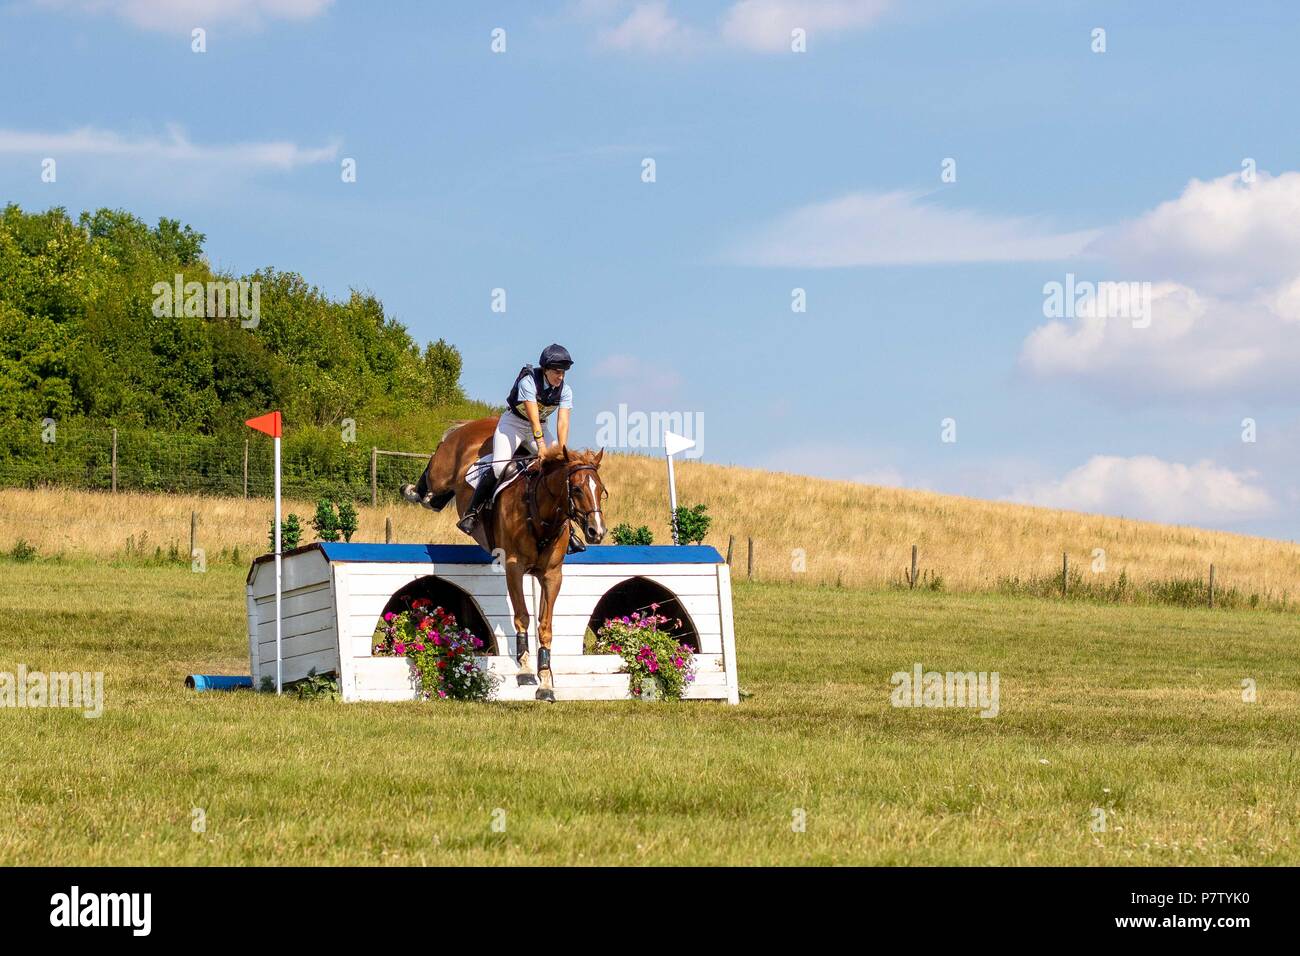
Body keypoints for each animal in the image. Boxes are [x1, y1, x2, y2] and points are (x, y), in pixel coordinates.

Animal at [400, 418, 608, 702]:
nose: (597, 531)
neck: (540, 515)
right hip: (442, 472)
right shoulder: (514, 567)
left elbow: (545, 625)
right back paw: (412, 491)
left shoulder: (552, 575)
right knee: (431, 480)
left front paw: (546, 684)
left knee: (435, 500)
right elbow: (522, 616)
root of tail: (472, 423)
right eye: (576, 489)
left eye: (602, 491)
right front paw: (525, 671)